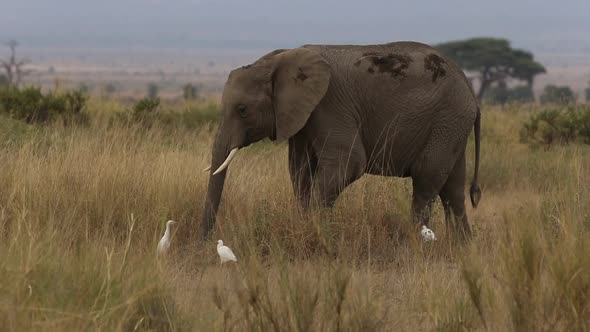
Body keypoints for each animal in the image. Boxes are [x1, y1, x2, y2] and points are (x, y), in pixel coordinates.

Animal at [201, 40, 484, 241]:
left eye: (242, 110)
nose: (206, 242)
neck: (278, 60)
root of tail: (470, 89)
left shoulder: (330, 104)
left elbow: (348, 164)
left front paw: (319, 233)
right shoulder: (300, 114)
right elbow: (299, 170)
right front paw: (305, 227)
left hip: (447, 119)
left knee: (427, 178)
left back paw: (414, 243)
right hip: (452, 126)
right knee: (453, 187)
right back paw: (462, 249)